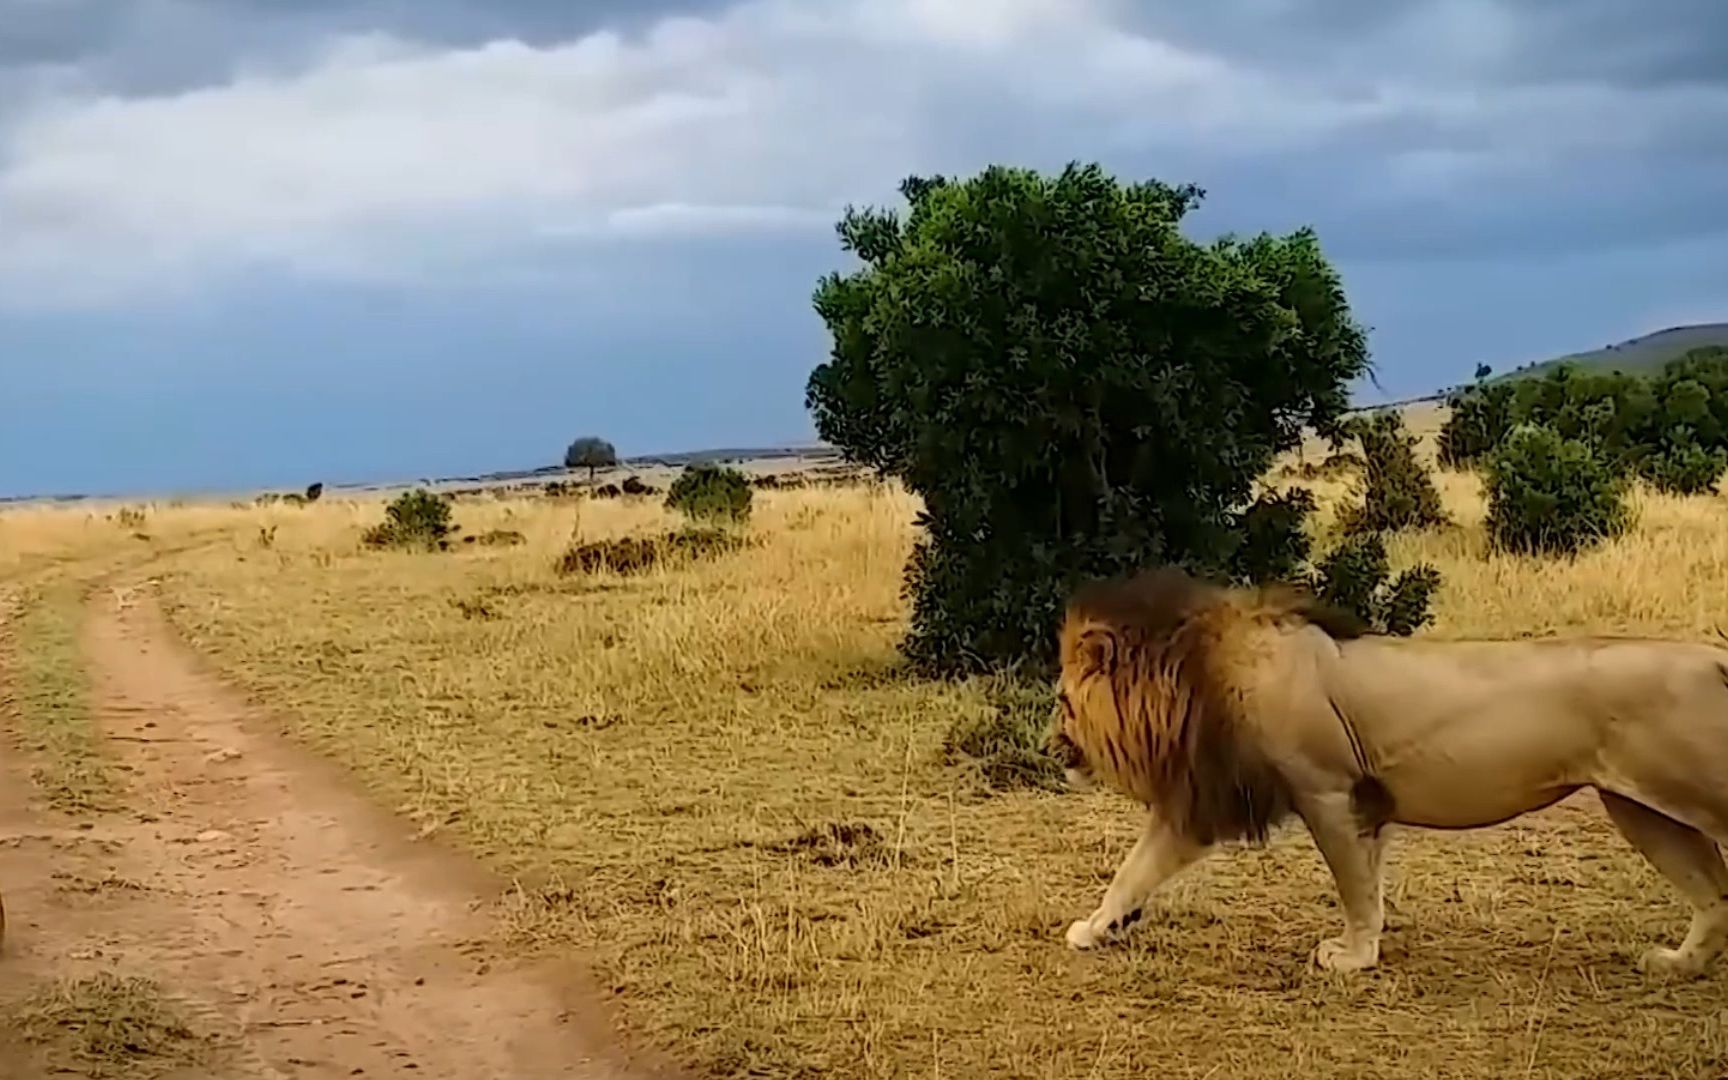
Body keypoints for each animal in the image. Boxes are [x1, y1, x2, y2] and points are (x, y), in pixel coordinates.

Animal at [1050, 570, 1728, 974]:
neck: (1194, 677)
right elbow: (1134, 871)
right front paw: (1092, 928)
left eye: (1063, 702)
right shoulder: (1211, 801)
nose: (1050, 744)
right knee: (1715, 896)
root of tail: (1711, 656)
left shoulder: (1327, 791)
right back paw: (1677, 964)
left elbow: (1353, 886)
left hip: (1685, 790)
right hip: (1643, 810)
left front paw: (1352, 957)